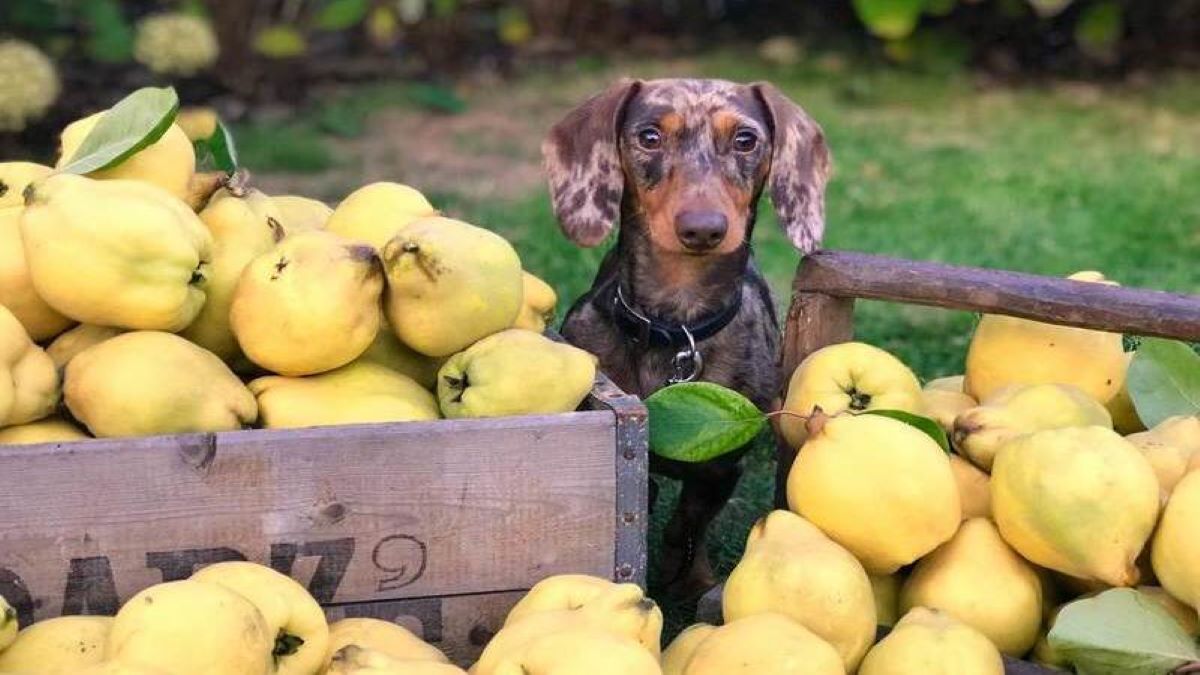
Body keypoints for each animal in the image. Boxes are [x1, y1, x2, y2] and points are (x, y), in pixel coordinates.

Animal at [547, 77, 835, 593]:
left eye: (746, 139)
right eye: (649, 136)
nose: (703, 229)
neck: (675, 328)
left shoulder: (722, 467)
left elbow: (686, 525)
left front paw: (688, 578)